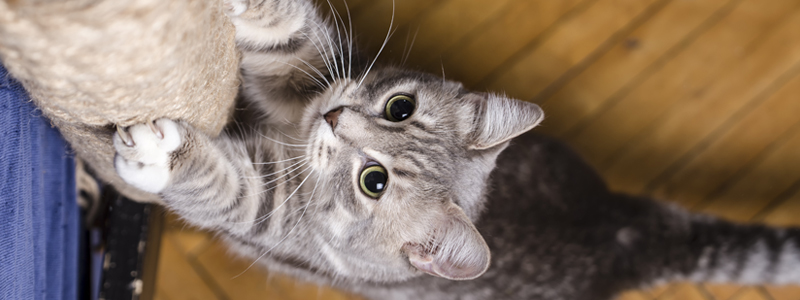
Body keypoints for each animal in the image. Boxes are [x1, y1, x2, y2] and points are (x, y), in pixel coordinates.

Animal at [111, 0, 800, 300]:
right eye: (399, 106)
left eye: (374, 182)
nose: (334, 118)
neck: (293, 128)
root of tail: (622, 231)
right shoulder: (308, 84)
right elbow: (292, 44)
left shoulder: (275, 211)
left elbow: (232, 187)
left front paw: (157, 153)